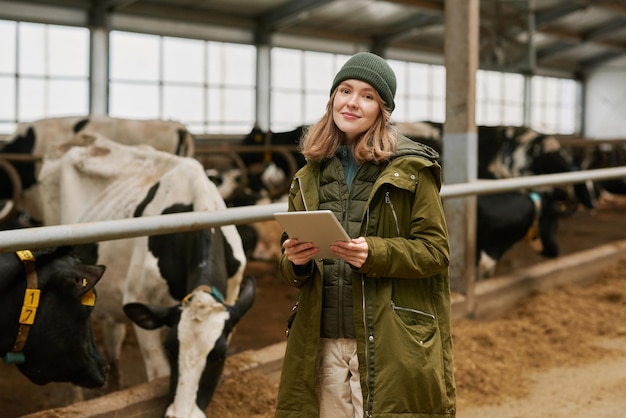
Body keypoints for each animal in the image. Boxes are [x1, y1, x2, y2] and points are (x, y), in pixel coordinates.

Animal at [29, 133, 254, 414]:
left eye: (220, 355)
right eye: (171, 349)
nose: (181, 415)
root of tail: (83, 137)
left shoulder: (232, 300)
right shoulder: (141, 298)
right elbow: (158, 374)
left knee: (112, 335)